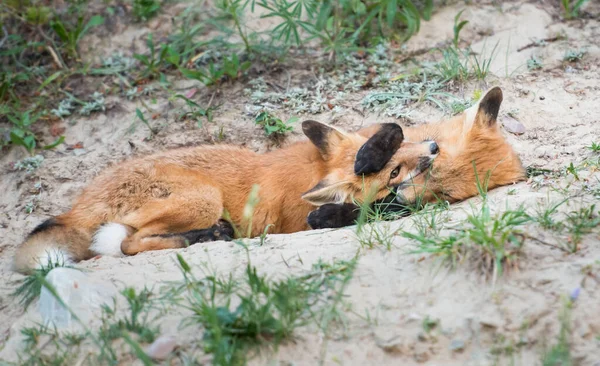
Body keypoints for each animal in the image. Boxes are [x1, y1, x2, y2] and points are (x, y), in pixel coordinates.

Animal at [11, 120, 438, 272]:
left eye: (403, 155)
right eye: (394, 172)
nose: (434, 147)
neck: (311, 171)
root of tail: (77, 207)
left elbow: (391, 126)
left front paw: (372, 149)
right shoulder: (303, 221)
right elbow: (375, 208)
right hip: (205, 198)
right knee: (127, 244)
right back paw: (208, 236)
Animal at [308, 87, 528, 227]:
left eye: (446, 194)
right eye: (430, 168)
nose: (401, 196)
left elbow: (376, 209)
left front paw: (330, 215)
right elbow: (394, 126)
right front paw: (368, 157)